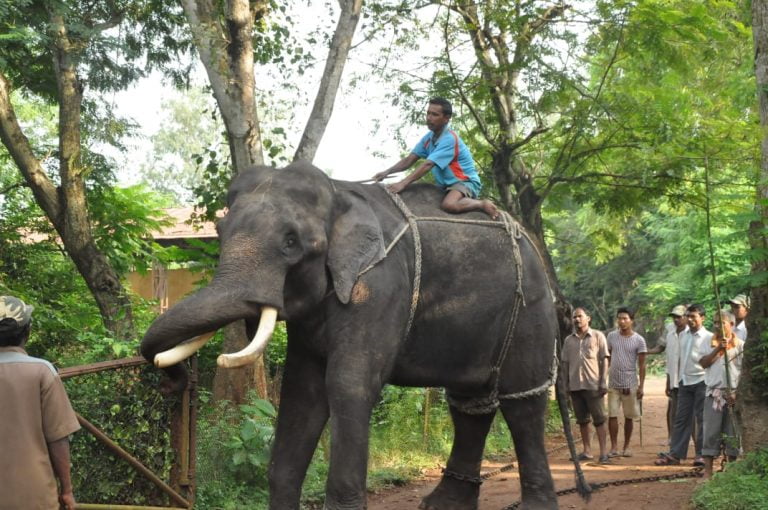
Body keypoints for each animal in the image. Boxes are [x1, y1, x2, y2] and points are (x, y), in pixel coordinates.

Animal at [140, 161, 560, 510]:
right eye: (220, 232)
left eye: (291, 242)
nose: (171, 382)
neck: (338, 193)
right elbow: (302, 392)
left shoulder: (379, 285)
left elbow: (348, 385)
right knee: (470, 403)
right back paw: (443, 505)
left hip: (530, 309)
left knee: (522, 402)